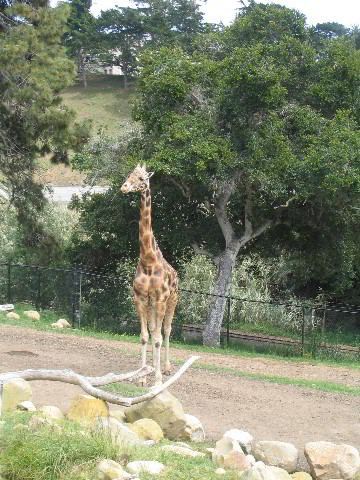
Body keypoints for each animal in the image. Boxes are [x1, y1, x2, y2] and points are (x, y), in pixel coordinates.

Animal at [121, 165, 179, 386]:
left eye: (141, 178)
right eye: (128, 175)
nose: (124, 187)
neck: (148, 260)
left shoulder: (161, 299)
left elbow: (159, 337)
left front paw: (157, 379)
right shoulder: (139, 298)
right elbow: (145, 336)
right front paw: (143, 376)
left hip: (172, 301)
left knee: (166, 330)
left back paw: (167, 368)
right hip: (152, 304)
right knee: (155, 330)